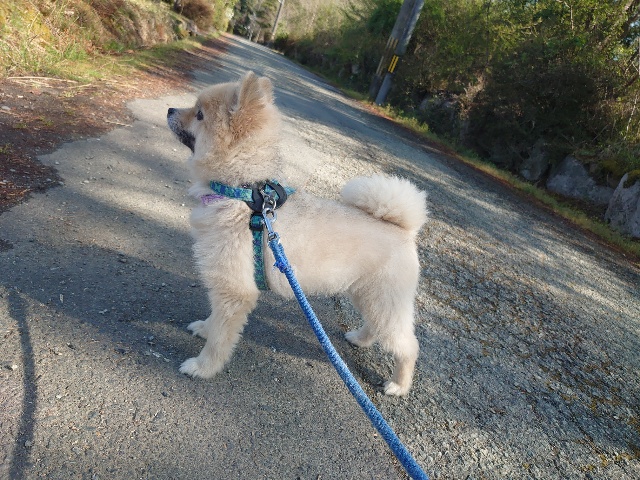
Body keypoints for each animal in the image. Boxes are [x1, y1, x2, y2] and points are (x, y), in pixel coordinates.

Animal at [167, 71, 428, 395]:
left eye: (199, 114)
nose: (170, 110)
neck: (242, 195)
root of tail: (406, 229)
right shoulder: (224, 281)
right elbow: (215, 319)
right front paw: (205, 328)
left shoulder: (234, 290)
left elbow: (220, 337)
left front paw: (203, 367)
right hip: (367, 295)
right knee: (376, 325)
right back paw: (360, 338)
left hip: (385, 300)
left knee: (408, 346)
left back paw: (398, 385)